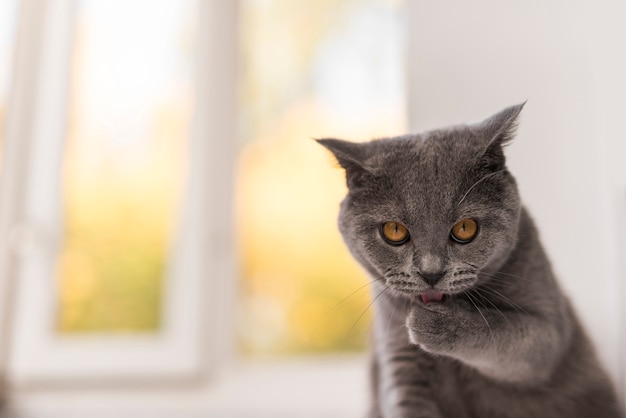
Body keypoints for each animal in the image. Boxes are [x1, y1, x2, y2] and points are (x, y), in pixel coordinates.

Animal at [320, 103, 620, 418]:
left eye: (465, 228)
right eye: (394, 231)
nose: (430, 272)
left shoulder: (549, 331)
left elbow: (511, 336)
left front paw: (437, 323)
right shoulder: (399, 359)